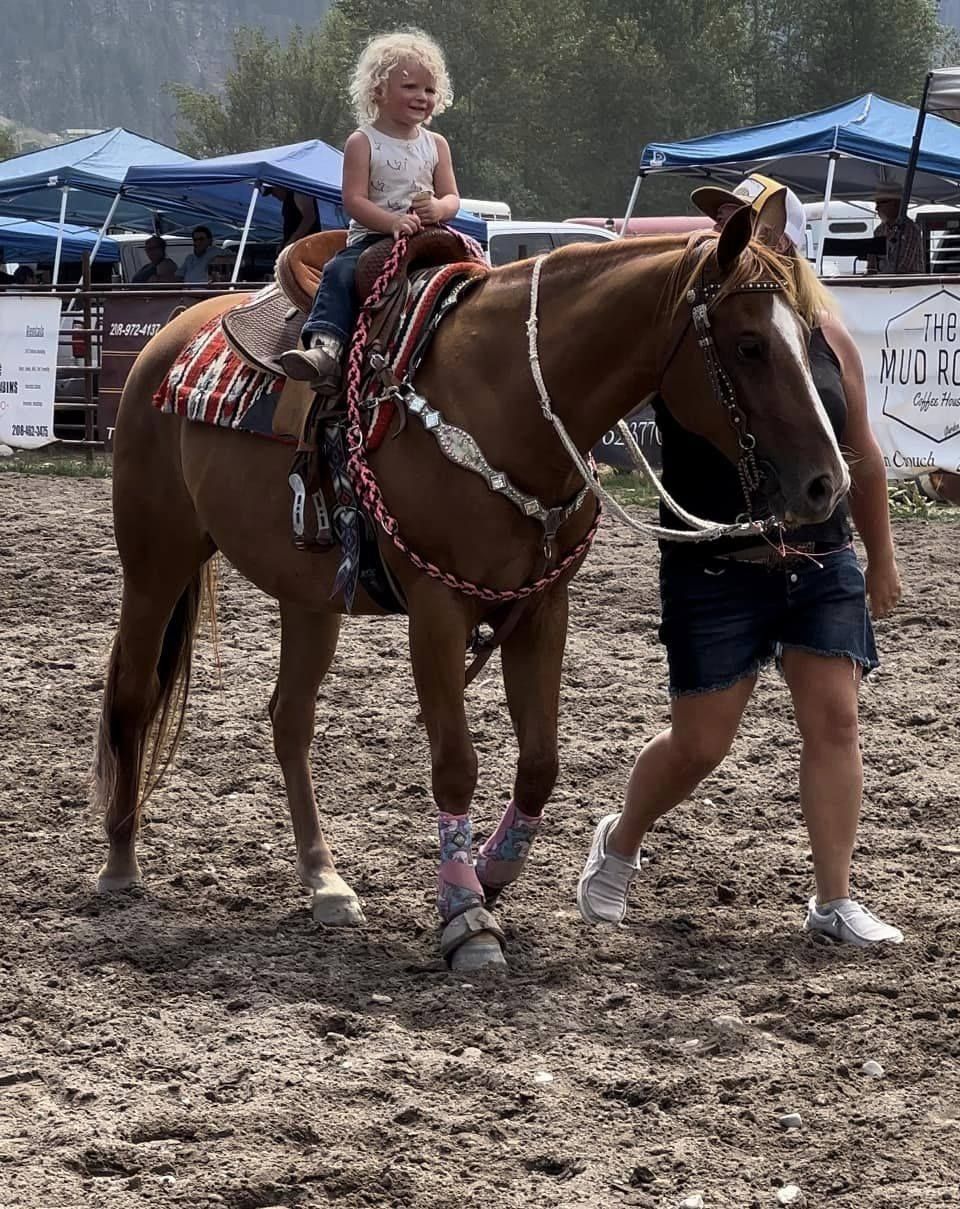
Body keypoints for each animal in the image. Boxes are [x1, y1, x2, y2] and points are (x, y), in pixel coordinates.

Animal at [93, 215, 846, 972]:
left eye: (810, 337)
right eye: (749, 344)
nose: (826, 483)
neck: (507, 401)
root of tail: (167, 339)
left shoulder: (540, 608)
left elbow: (540, 762)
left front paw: (491, 872)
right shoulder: (436, 609)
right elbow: (455, 764)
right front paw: (466, 918)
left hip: (306, 595)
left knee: (289, 719)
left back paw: (324, 880)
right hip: (156, 559)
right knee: (133, 692)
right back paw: (121, 863)